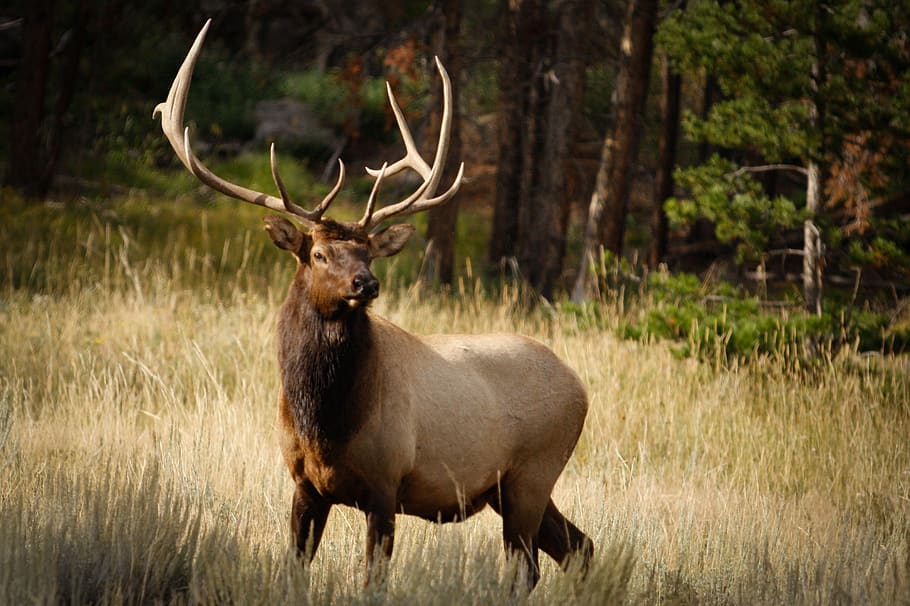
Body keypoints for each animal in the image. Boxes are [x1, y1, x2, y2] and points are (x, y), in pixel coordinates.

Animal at [154, 20, 593, 590]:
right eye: (318, 253)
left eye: (366, 251)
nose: (367, 283)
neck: (325, 424)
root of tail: (580, 388)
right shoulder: (304, 485)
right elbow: (294, 568)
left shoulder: (386, 484)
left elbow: (373, 580)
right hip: (511, 488)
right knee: (579, 547)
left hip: (532, 474)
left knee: (530, 567)